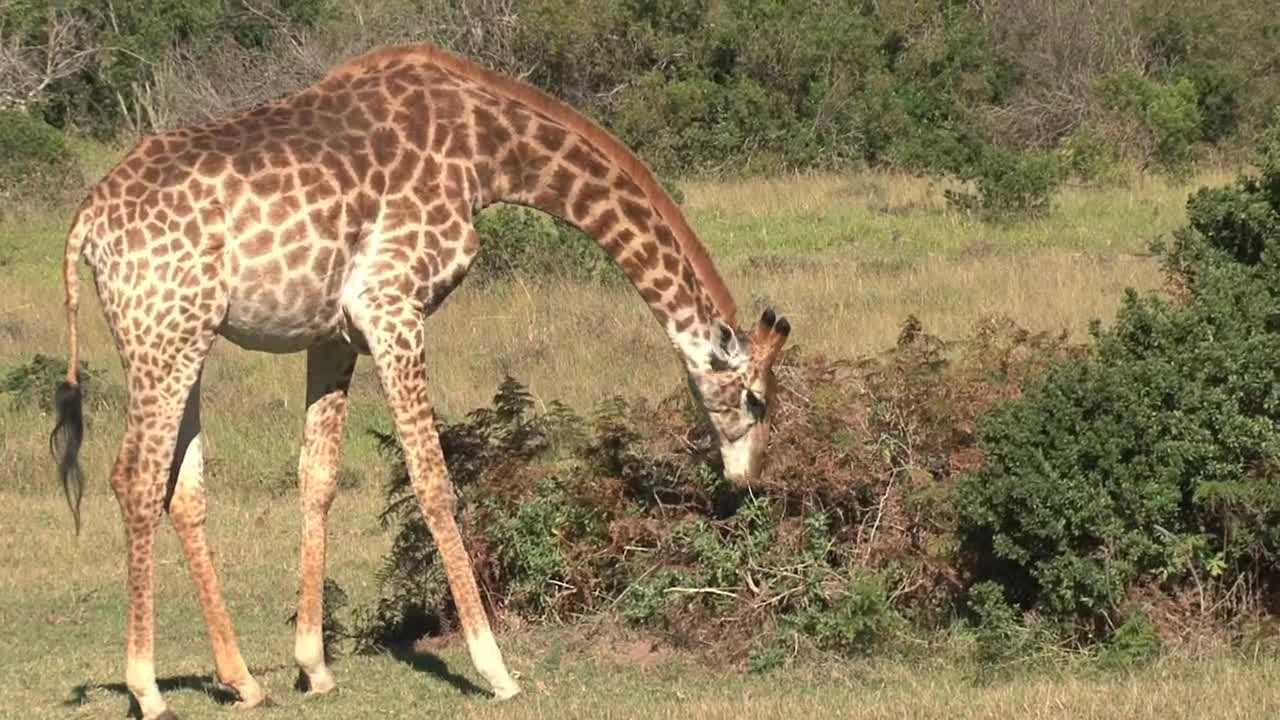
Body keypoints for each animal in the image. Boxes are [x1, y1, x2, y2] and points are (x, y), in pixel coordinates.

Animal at [49, 43, 791, 719]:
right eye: (755, 400)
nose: (748, 479)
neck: (489, 151)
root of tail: (86, 224)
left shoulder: (335, 331)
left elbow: (318, 476)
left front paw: (313, 667)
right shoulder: (391, 304)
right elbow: (433, 481)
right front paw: (495, 668)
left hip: (183, 339)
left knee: (183, 488)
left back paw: (242, 682)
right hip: (163, 333)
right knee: (135, 479)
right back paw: (147, 690)